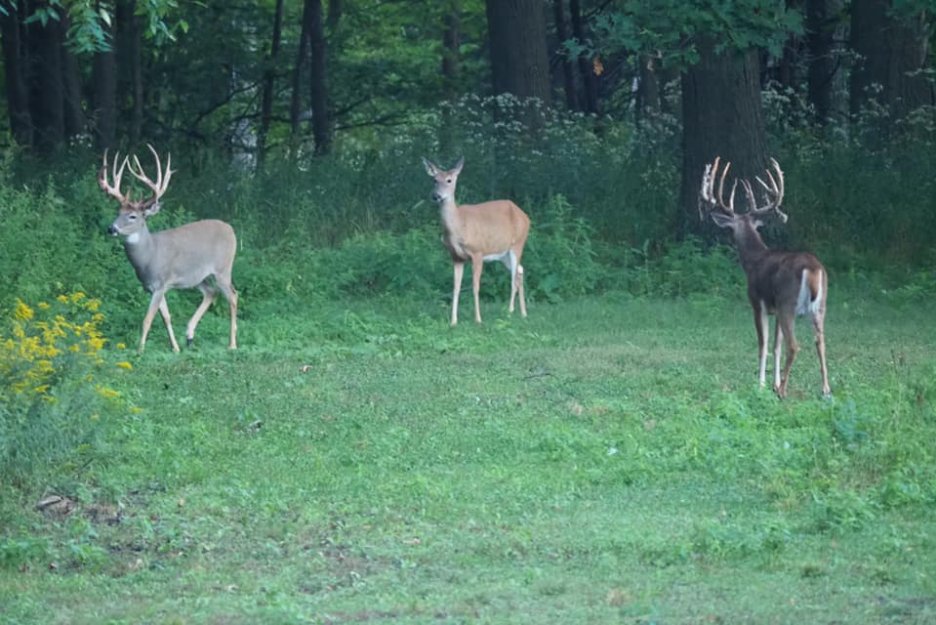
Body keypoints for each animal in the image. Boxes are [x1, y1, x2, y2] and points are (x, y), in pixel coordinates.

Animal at [98, 144, 238, 354]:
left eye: (132, 216)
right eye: (118, 212)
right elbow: (166, 317)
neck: (148, 257)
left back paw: (232, 344)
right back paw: (189, 337)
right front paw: (175, 348)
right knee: (211, 292)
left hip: (223, 268)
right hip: (198, 276)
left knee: (232, 296)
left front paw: (140, 350)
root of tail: (231, 229)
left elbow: (148, 318)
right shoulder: (153, 287)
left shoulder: (160, 284)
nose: (111, 228)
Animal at [422, 157, 532, 326]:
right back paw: (523, 313)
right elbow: (456, 288)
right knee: (520, 271)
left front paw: (478, 319)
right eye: (434, 180)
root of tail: (525, 217)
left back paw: (510, 311)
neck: (459, 225)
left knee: (514, 278)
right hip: (503, 254)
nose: (436, 196)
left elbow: (475, 286)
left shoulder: (478, 252)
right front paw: (453, 321)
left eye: (449, 180)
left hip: (518, 243)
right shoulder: (456, 257)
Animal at [700, 158, 828, 398]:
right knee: (820, 341)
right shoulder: (775, 309)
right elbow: (776, 346)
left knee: (794, 346)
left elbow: (764, 344)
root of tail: (812, 268)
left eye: (731, 229)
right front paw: (773, 383)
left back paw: (784, 392)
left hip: (788, 302)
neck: (754, 260)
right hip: (819, 306)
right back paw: (825, 389)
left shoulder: (757, 303)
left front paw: (761, 385)